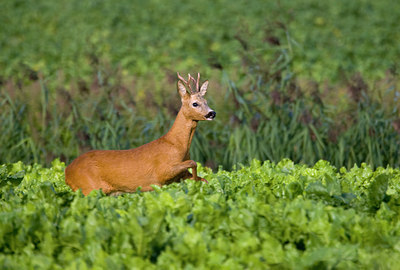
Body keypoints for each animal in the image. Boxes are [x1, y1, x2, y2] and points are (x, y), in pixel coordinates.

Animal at [65, 73, 216, 195]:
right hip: (88, 188)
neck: (177, 145)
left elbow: (204, 178)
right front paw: (195, 184)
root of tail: (67, 172)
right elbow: (193, 162)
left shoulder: (179, 175)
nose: (212, 113)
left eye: (206, 101)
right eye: (195, 103)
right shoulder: (162, 171)